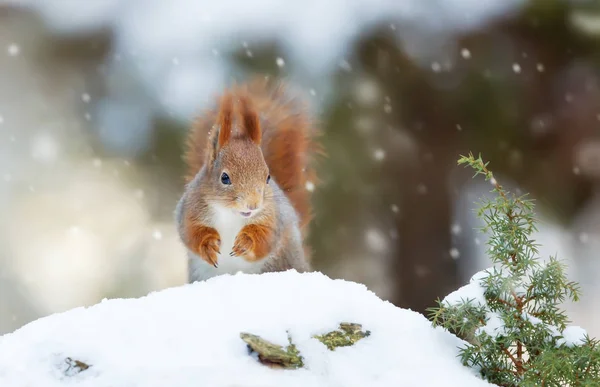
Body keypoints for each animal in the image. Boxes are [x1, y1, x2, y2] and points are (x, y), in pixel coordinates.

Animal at [175, 77, 324, 284]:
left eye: (268, 177)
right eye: (224, 178)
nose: (253, 205)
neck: (230, 214)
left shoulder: (274, 216)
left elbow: (266, 238)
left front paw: (245, 243)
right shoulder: (190, 208)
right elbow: (191, 233)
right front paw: (208, 245)